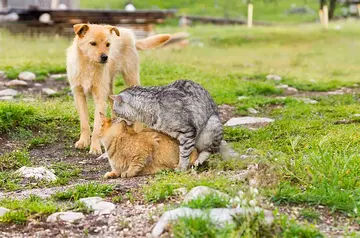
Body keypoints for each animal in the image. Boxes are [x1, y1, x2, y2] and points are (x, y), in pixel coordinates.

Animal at [67, 23, 171, 154]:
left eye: (108, 44)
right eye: (92, 43)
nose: (105, 57)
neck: (88, 65)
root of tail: (130, 34)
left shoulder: (100, 99)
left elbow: (96, 128)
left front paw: (95, 147)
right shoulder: (79, 96)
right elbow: (84, 124)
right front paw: (83, 141)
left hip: (131, 79)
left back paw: (137, 130)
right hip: (109, 87)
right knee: (113, 104)